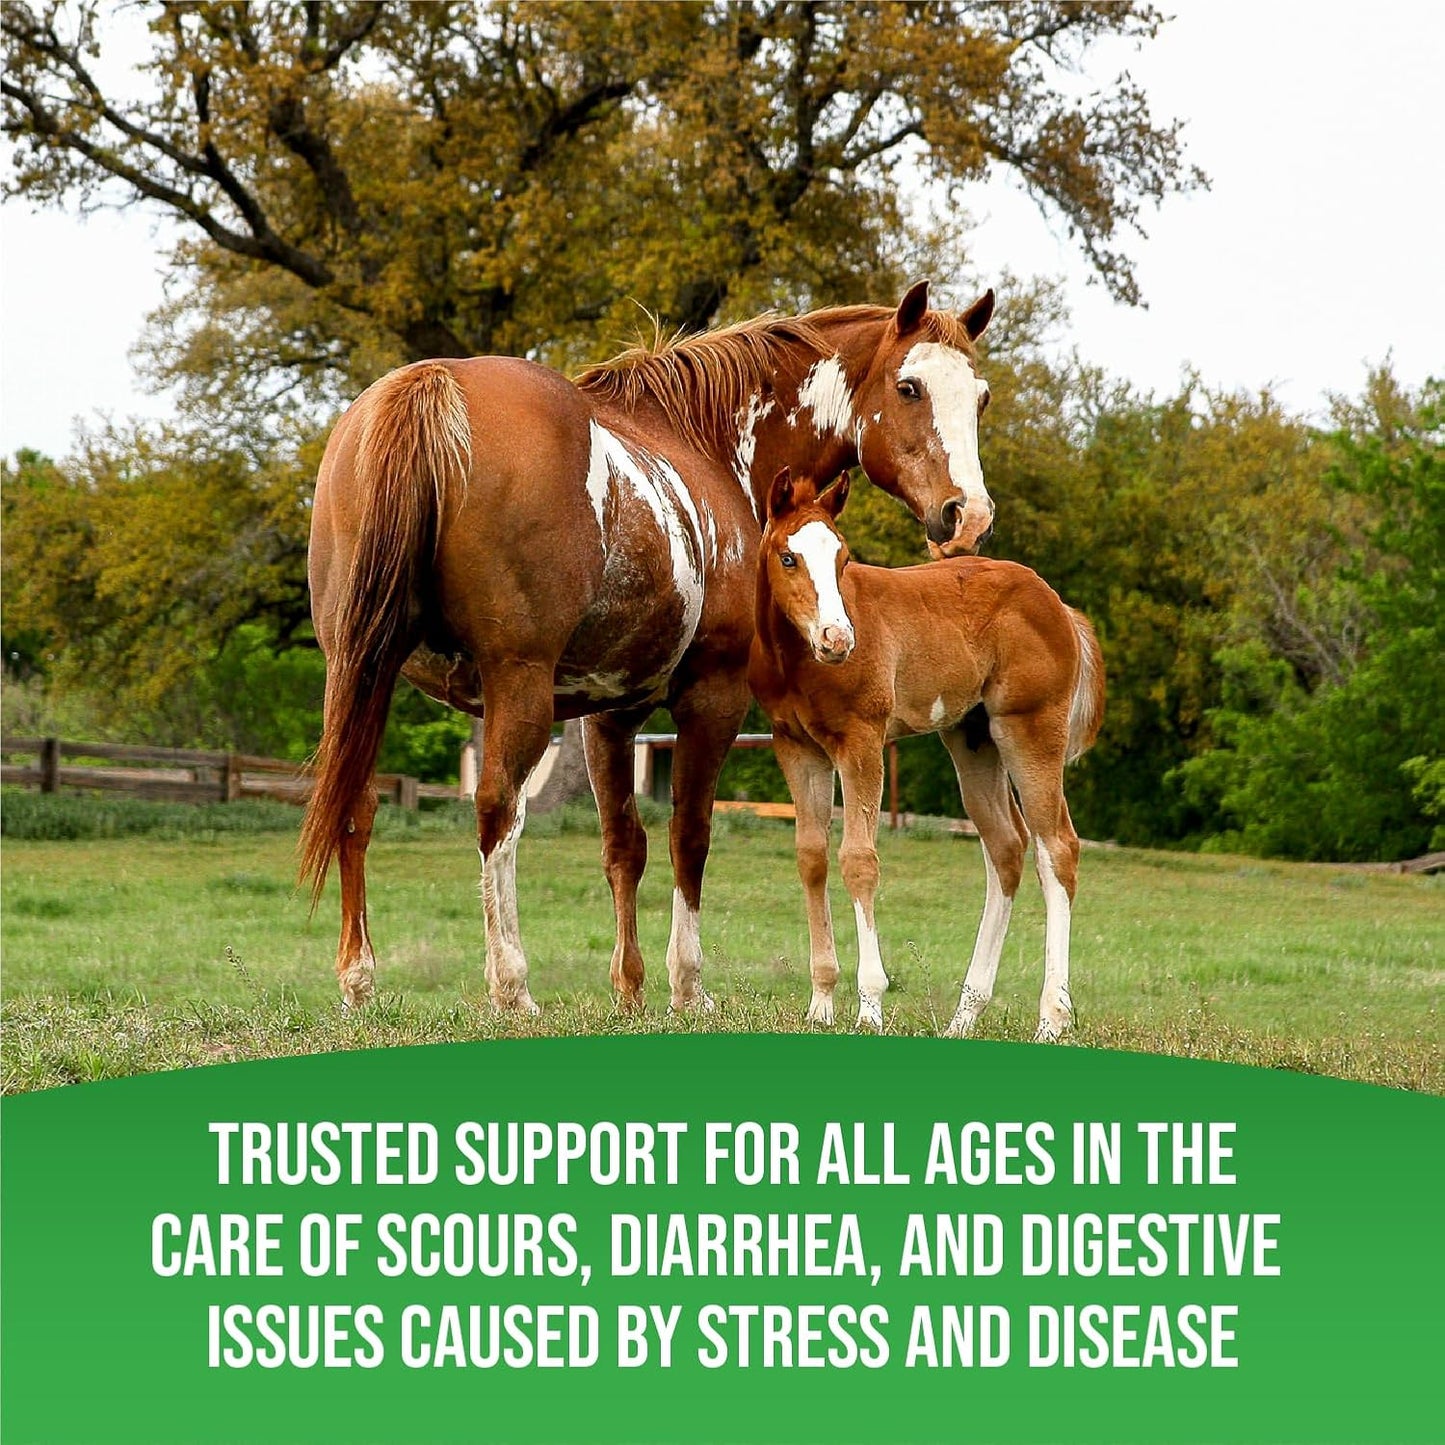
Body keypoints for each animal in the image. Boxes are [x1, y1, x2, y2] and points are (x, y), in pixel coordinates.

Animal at [300, 280, 997, 1016]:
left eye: (979, 396)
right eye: (909, 387)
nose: (967, 516)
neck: (711, 445)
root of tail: (428, 385)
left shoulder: (609, 716)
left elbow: (623, 845)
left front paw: (629, 986)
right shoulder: (712, 697)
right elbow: (689, 835)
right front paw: (687, 984)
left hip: (360, 671)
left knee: (357, 802)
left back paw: (358, 977)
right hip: (515, 684)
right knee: (497, 810)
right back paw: (511, 984)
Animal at [747, 467, 1105, 1040]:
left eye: (843, 558)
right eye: (788, 557)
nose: (836, 638)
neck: (796, 662)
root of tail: (1058, 605)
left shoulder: (862, 741)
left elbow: (859, 860)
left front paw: (869, 1007)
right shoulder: (796, 747)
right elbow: (812, 858)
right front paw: (820, 1004)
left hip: (1029, 731)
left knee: (1057, 848)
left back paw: (1052, 1018)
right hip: (973, 739)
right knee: (1006, 847)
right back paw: (965, 1015)